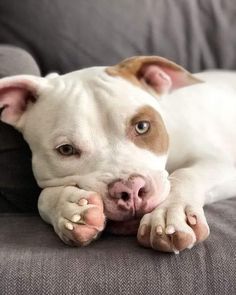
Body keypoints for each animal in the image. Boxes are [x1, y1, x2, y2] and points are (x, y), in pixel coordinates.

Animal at [0, 56, 236, 253]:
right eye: (66, 150)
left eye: (142, 127)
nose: (130, 190)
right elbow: (42, 197)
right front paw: (68, 208)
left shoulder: (222, 165)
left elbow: (186, 174)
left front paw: (170, 213)